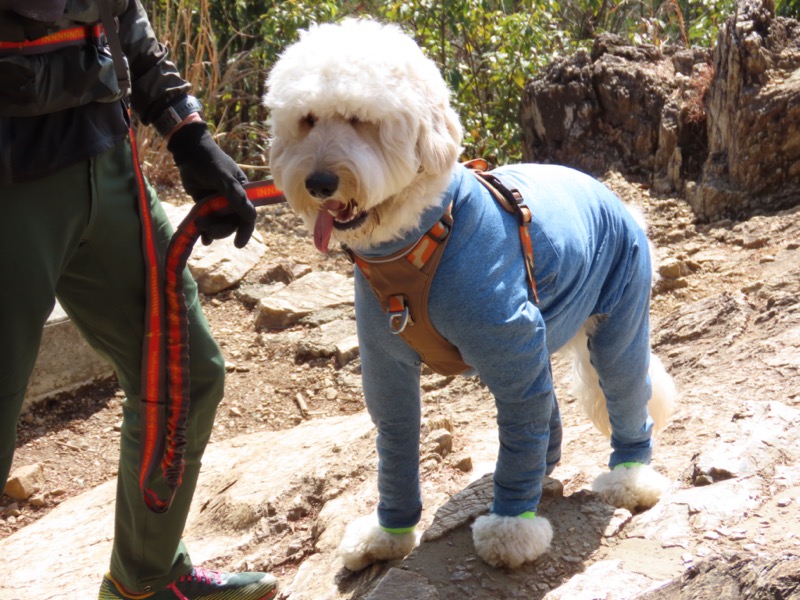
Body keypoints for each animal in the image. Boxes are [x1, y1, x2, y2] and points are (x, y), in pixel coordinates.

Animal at [264, 17, 676, 572]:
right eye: (307, 120)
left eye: (361, 120)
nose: (319, 180)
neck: (417, 238)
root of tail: (615, 197)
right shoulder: (386, 366)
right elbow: (395, 444)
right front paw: (387, 533)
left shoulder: (511, 348)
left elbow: (519, 435)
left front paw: (511, 529)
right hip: (545, 334)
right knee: (547, 417)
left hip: (617, 319)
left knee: (625, 391)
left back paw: (630, 478)